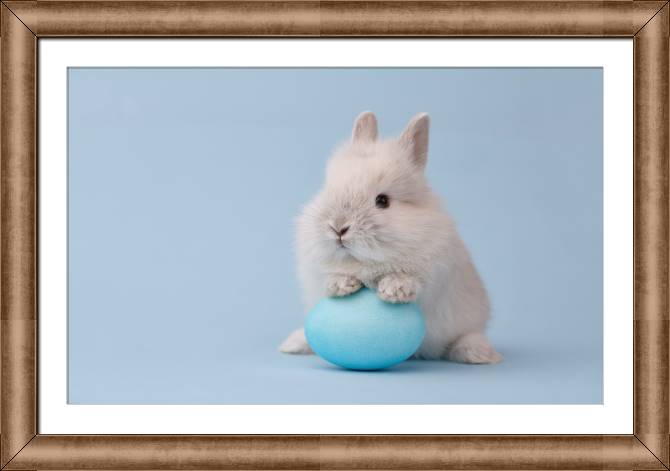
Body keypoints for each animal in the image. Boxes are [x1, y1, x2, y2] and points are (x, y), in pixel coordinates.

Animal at [279, 112, 502, 363]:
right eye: (329, 189)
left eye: (382, 201)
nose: (338, 228)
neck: (364, 263)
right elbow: (332, 277)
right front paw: (341, 284)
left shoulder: (434, 275)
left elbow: (411, 281)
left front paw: (394, 290)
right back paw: (293, 343)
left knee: (463, 337)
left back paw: (480, 353)